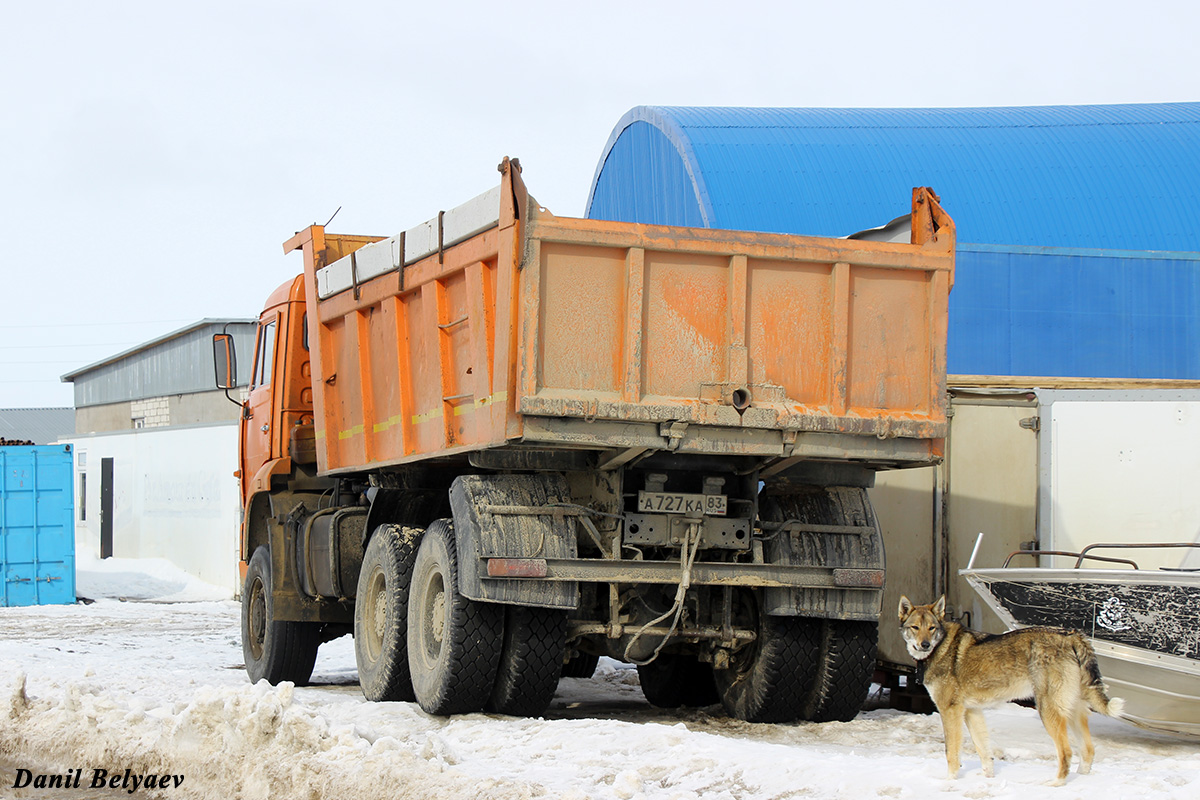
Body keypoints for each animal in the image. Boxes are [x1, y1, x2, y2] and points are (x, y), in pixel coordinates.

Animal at [902, 597, 1123, 786]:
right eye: (915, 627)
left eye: (931, 628)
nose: (925, 645)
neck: (940, 647)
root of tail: (1072, 635)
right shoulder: (972, 712)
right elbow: (984, 752)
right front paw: (989, 779)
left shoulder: (950, 711)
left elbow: (951, 753)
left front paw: (949, 782)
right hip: (1073, 712)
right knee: (1088, 750)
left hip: (1048, 711)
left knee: (1067, 752)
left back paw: (1056, 783)